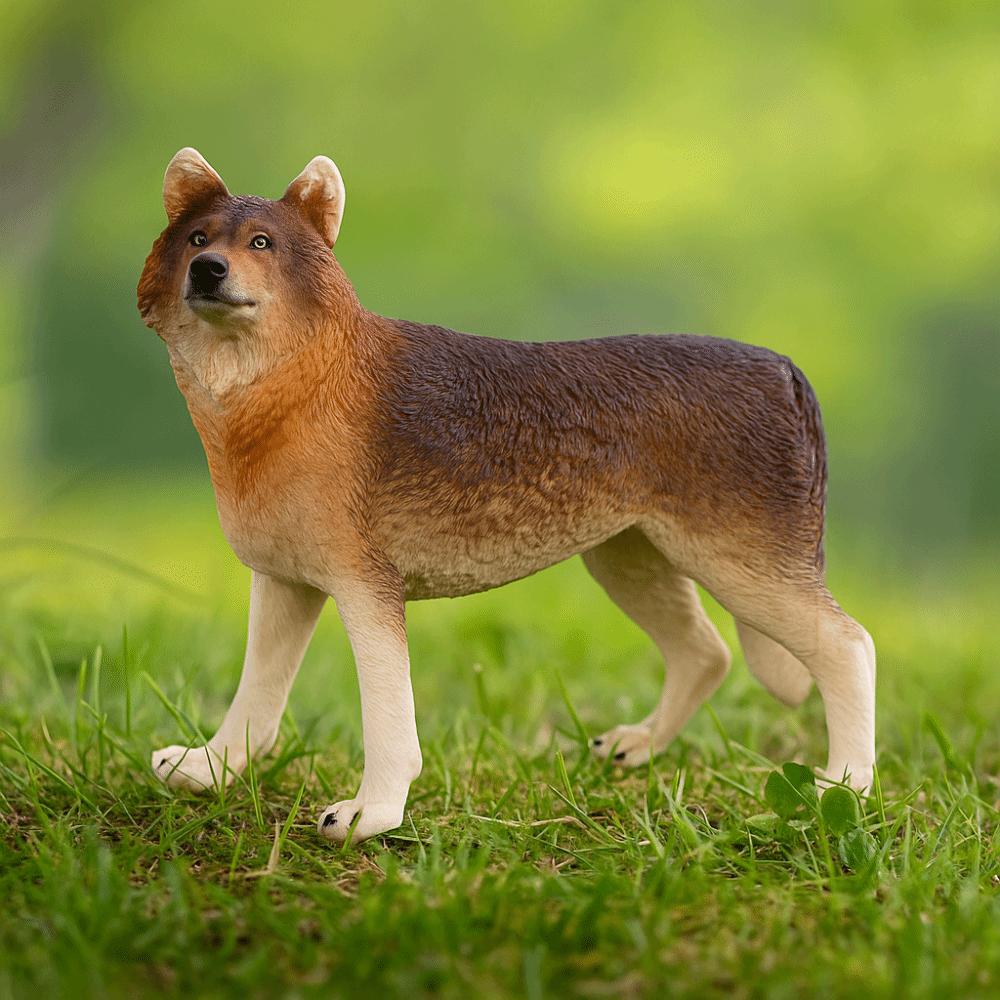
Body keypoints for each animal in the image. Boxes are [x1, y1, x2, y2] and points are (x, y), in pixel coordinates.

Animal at [137, 148, 876, 843]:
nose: (208, 270)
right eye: (198, 238)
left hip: (740, 570)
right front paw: (209, 770)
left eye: (261, 243)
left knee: (849, 647)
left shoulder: (367, 588)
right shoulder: (286, 584)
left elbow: (389, 720)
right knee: (706, 653)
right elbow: (256, 702)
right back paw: (637, 746)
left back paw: (842, 785)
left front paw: (371, 814)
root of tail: (785, 369)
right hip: (629, 561)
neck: (283, 392)